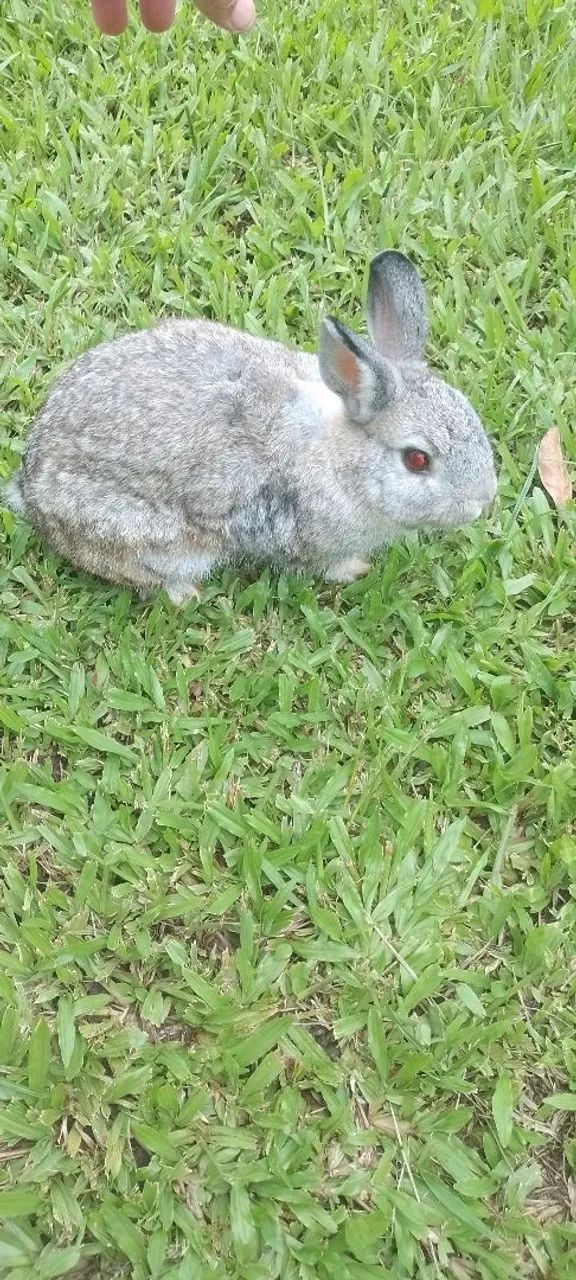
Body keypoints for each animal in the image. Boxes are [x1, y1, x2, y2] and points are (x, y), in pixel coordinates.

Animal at [3, 250, 496, 604]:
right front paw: (354, 570)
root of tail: (33, 494)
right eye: (417, 460)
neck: (342, 460)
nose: (481, 501)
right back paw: (187, 595)